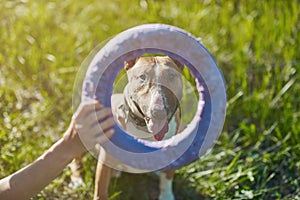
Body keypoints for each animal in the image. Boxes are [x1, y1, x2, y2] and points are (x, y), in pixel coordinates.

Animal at [92, 56, 184, 200]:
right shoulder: (106, 158)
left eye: (171, 76)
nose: (159, 111)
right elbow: (100, 188)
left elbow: (167, 177)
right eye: (142, 77)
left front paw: (166, 196)